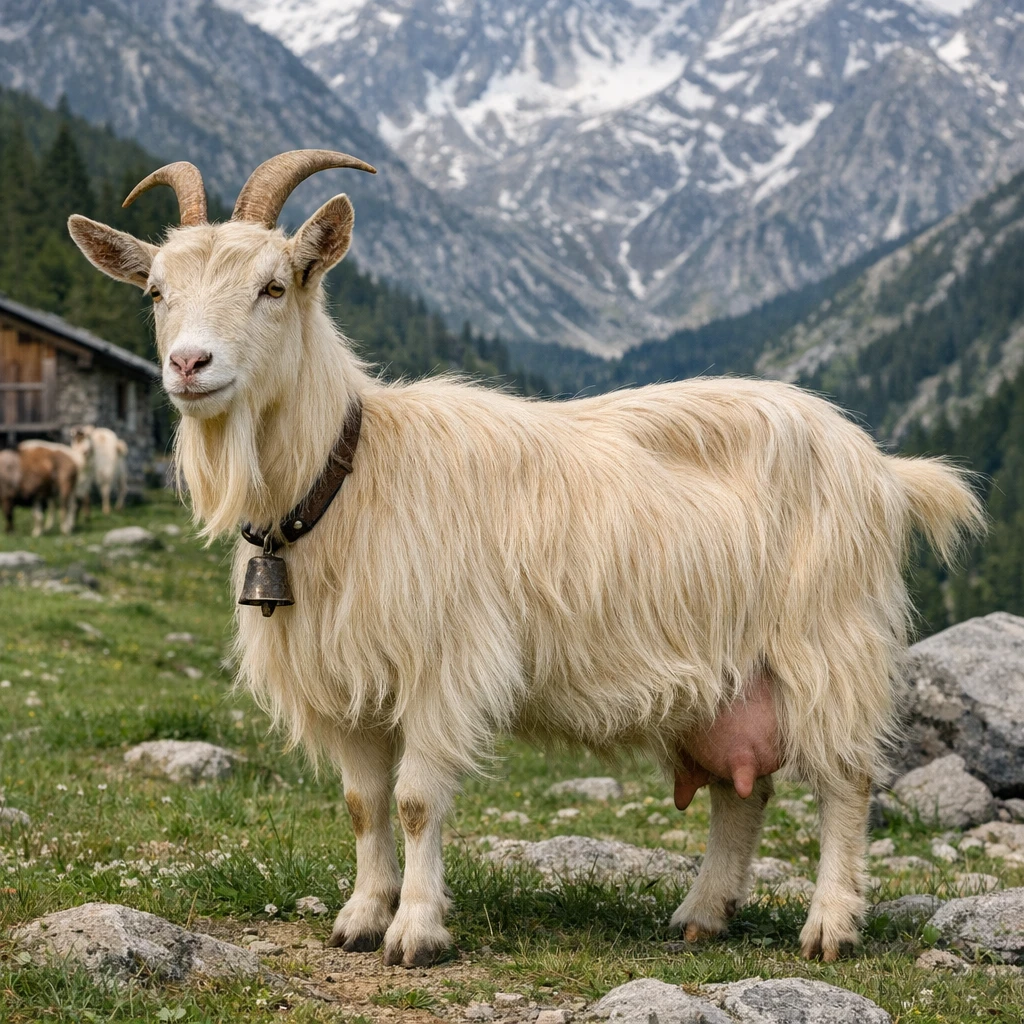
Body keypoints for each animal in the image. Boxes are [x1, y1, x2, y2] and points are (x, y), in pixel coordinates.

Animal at [69, 152, 985, 968]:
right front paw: (360, 918)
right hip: (733, 675)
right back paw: (701, 915)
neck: (347, 476)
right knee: (742, 791)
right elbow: (363, 804)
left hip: (828, 640)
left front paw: (416, 933)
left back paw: (830, 927)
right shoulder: (345, 680)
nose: (189, 364)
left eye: (274, 285)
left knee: (845, 782)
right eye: (156, 292)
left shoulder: (445, 663)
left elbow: (414, 801)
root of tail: (880, 465)